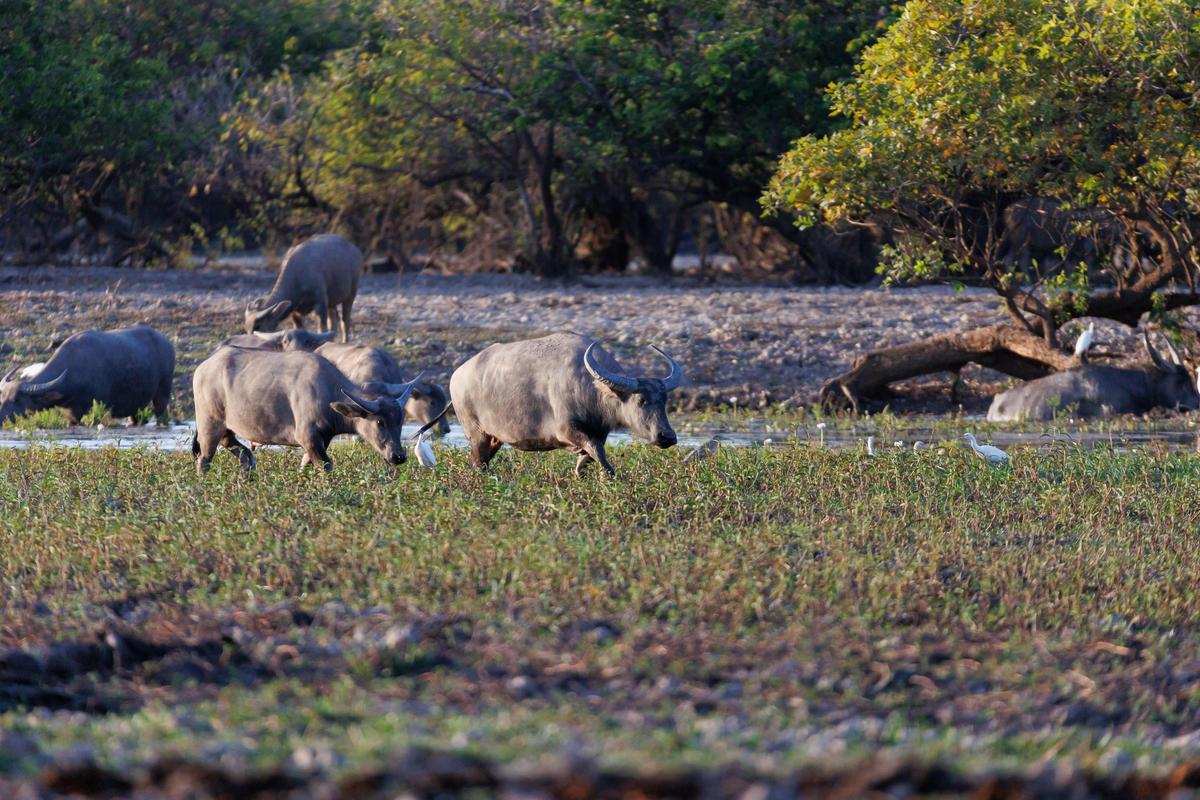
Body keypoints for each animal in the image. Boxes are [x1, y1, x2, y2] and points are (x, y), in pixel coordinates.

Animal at [0, 324, 175, 425]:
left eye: (16, 400)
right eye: (2, 398)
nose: (1, 418)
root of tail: (167, 343)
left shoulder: (86, 411)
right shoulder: (71, 414)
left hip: (163, 393)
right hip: (137, 406)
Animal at [192, 347, 419, 473]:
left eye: (400, 422)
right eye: (380, 422)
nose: (398, 456)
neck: (327, 390)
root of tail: (202, 368)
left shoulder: (320, 440)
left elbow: (304, 466)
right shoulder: (308, 437)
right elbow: (327, 467)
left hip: (226, 430)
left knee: (243, 453)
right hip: (209, 425)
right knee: (204, 459)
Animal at [448, 332, 682, 477]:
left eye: (664, 400)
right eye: (641, 400)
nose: (668, 437)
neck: (590, 389)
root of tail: (457, 376)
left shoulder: (599, 433)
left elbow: (587, 459)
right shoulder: (567, 431)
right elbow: (598, 453)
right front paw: (610, 476)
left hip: (494, 439)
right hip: (477, 435)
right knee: (478, 463)